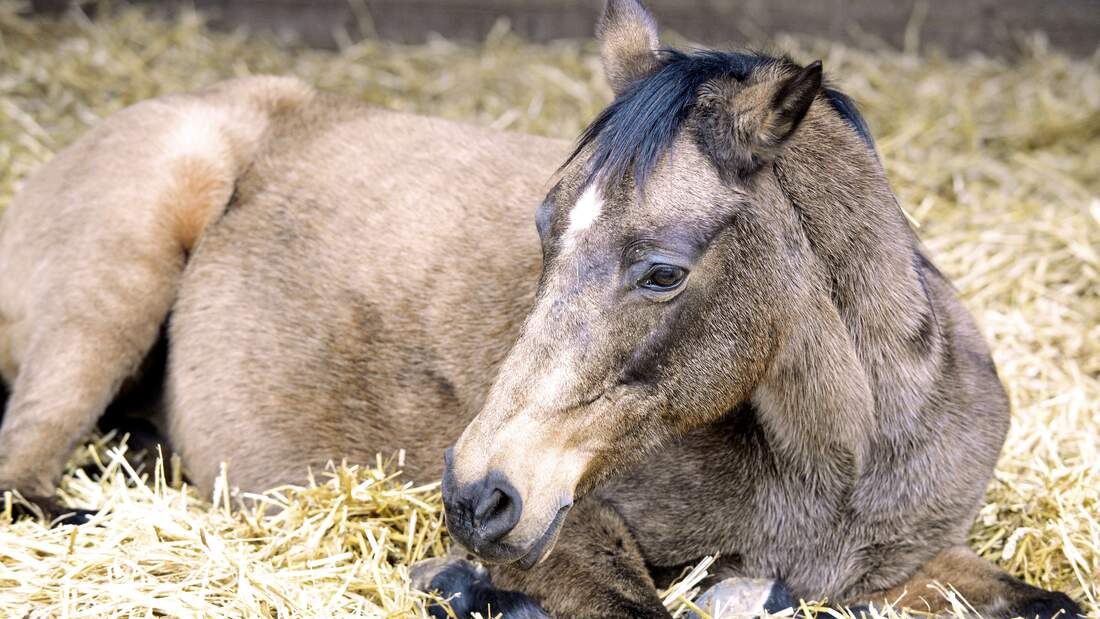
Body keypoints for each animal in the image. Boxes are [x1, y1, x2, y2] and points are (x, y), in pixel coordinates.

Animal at [0, 1, 1083, 617]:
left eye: (662, 272)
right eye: (543, 228)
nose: (476, 496)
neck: (841, 468)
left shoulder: (919, 561)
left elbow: (1048, 603)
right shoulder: (579, 533)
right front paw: (456, 584)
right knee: (25, 470)